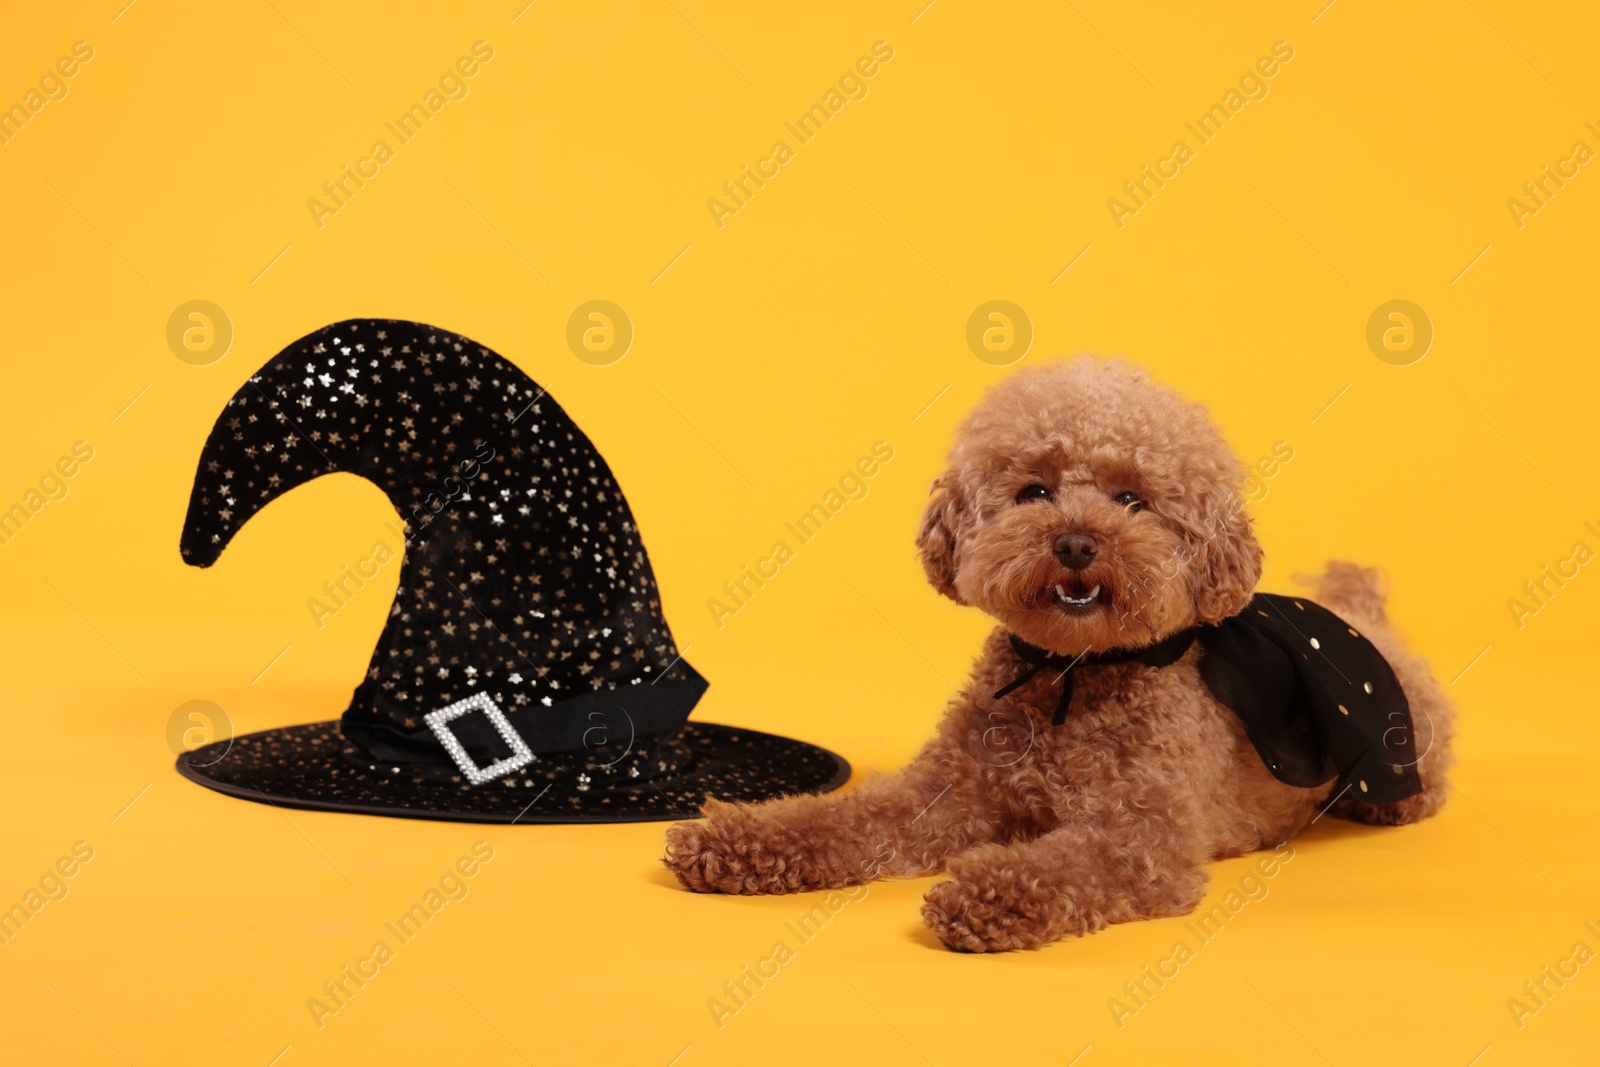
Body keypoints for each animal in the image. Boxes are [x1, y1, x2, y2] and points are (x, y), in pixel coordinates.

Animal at [656, 356, 1459, 953]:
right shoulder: (942, 795)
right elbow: (843, 818)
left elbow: (1067, 861)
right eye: (1033, 491)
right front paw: (735, 836)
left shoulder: (1141, 838)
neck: (1073, 674)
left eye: (1133, 499)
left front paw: (987, 893)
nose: (1075, 542)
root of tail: (1365, 616)